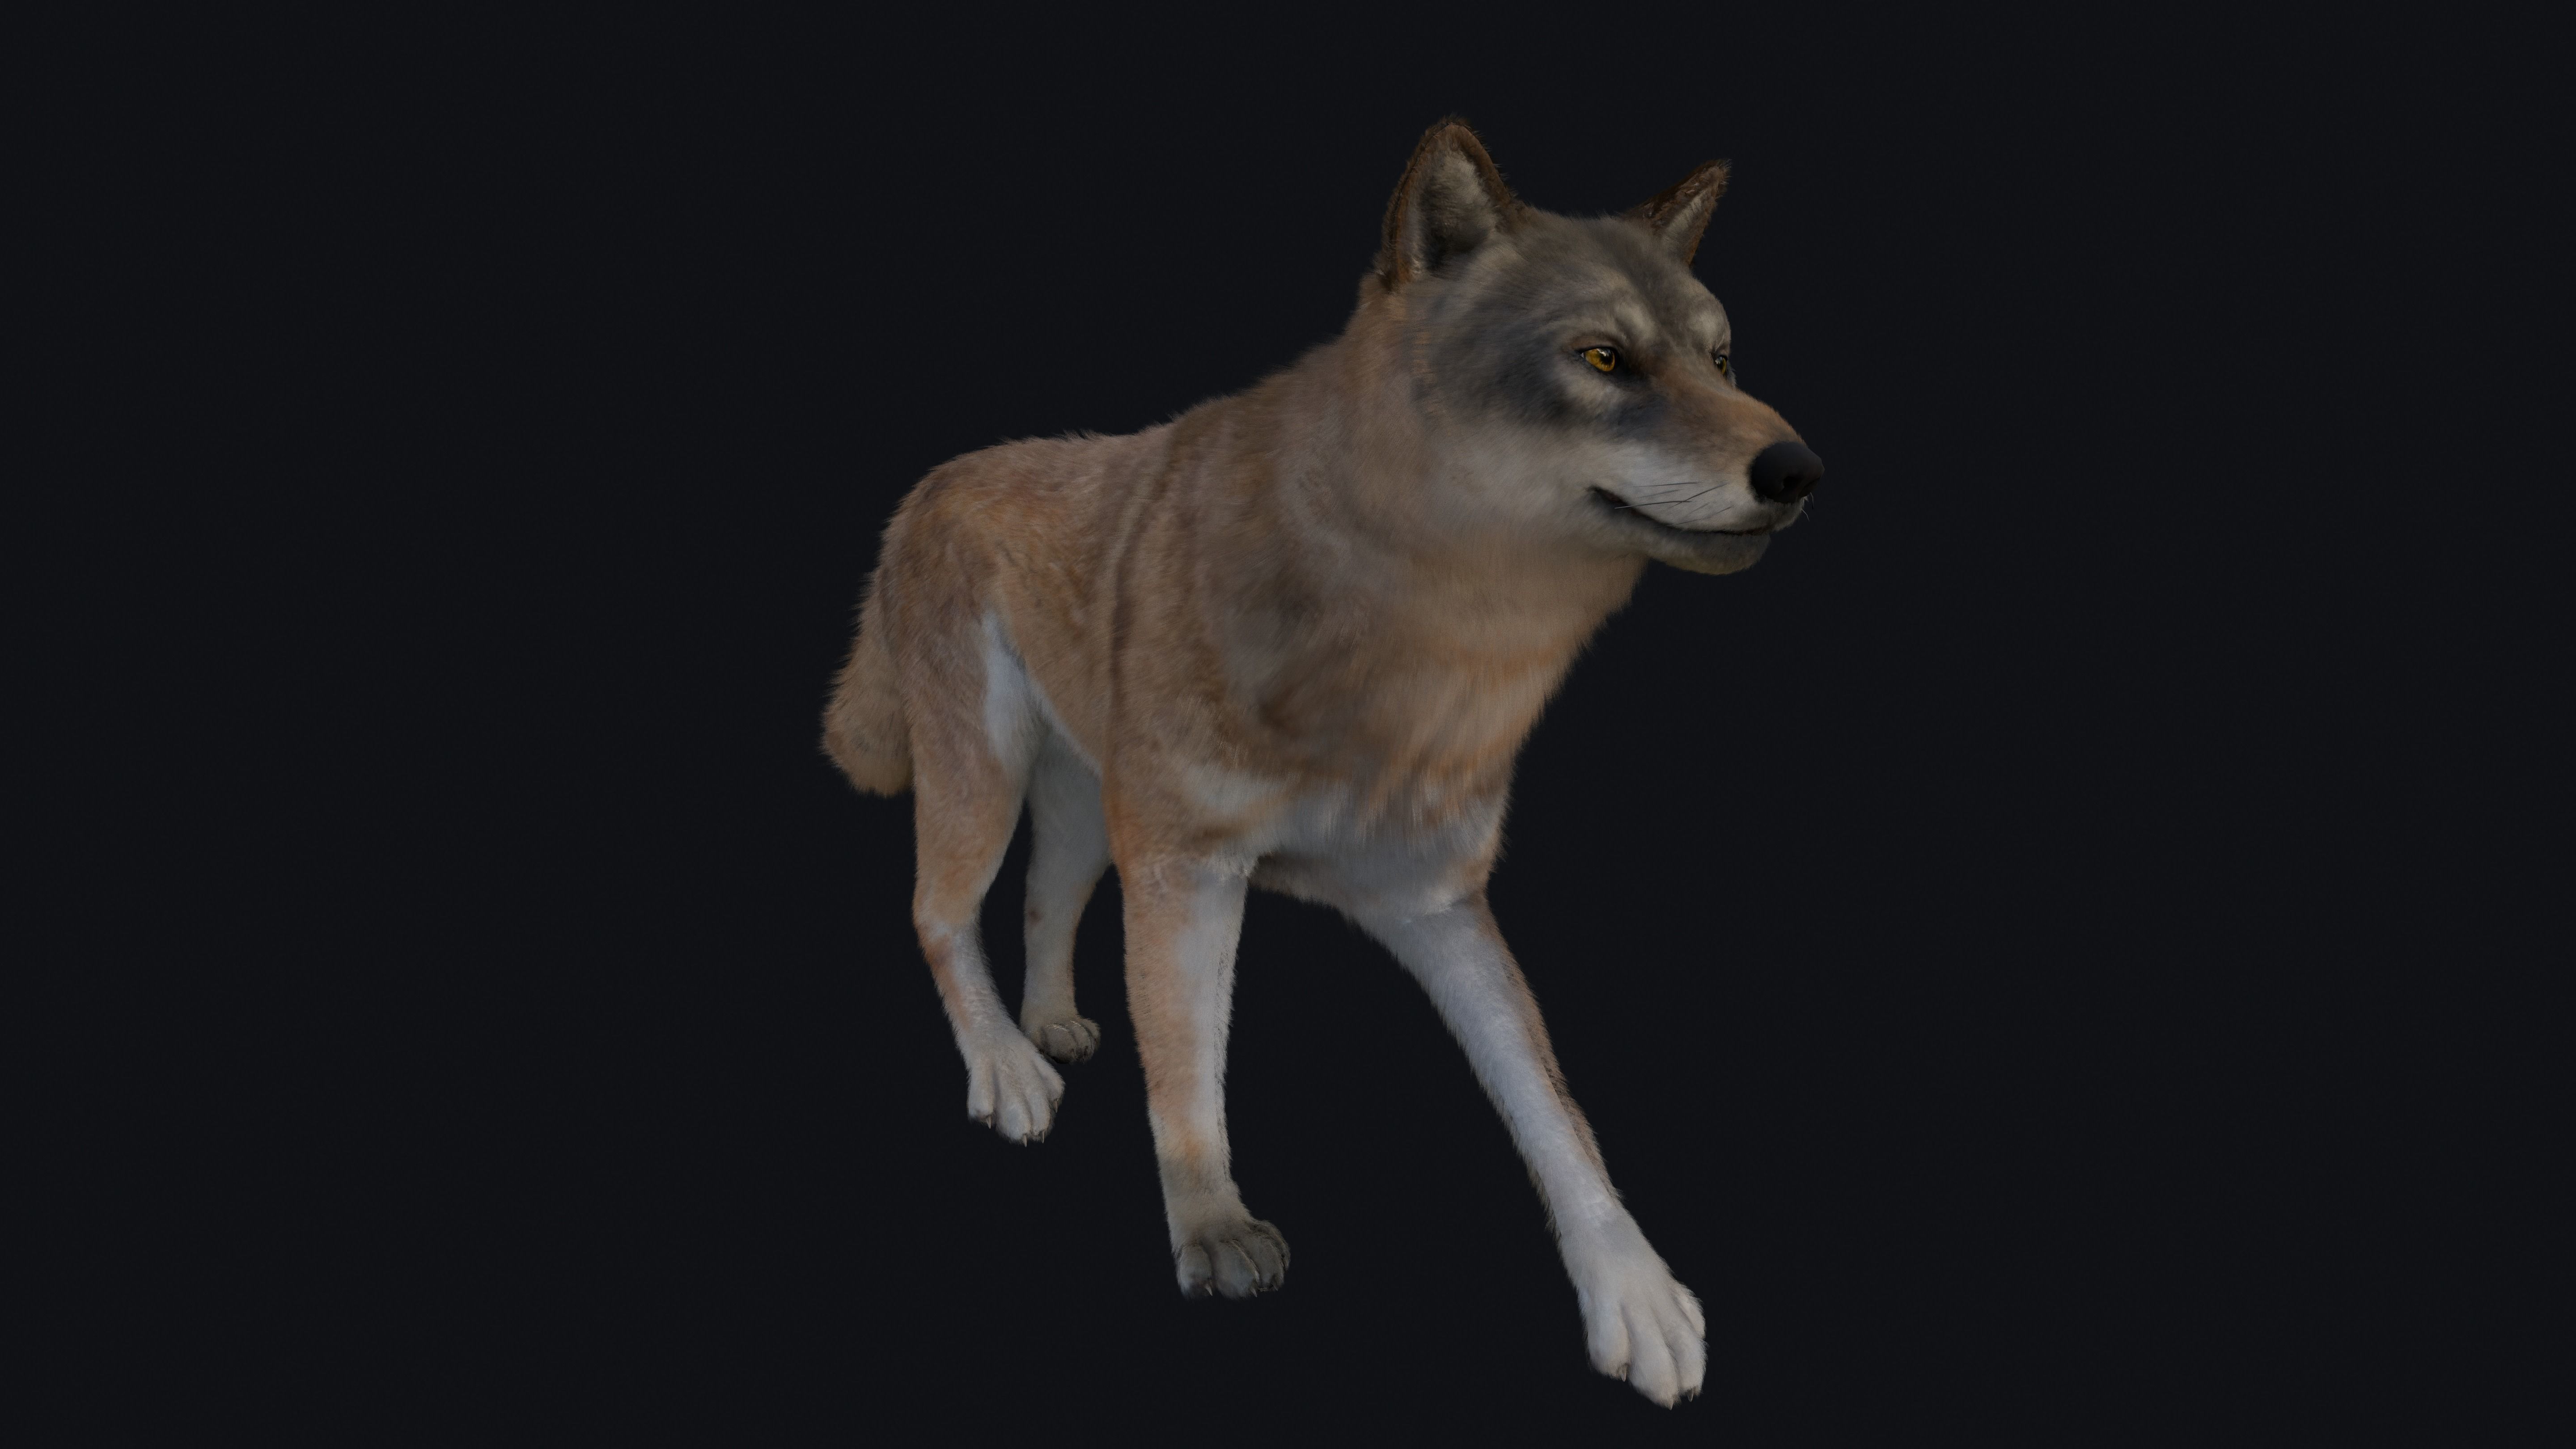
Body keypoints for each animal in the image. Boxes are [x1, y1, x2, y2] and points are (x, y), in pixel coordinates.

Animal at [822, 119, 1823, 1406]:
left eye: (1723, 359)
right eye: (1606, 359)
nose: (1798, 471)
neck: (1422, 652)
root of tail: (928, 485)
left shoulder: (1432, 898)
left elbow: (1552, 1104)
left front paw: (1636, 1292)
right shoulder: (1192, 869)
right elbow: (1187, 1069)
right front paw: (1211, 1233)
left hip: (1091, 815)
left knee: (1044, 903)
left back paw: (1052, 1027)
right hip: (986, 786)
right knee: (938, 914)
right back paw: (1005, 1070)